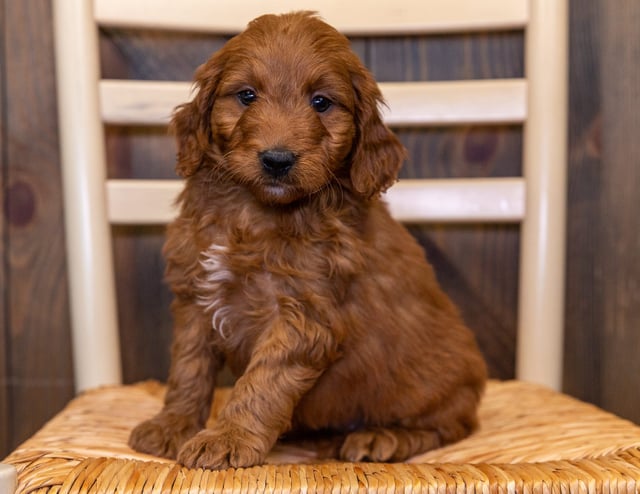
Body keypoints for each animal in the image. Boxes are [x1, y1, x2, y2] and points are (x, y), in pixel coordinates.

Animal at [129, 9, 484, 468]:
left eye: (321, 102)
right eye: (247, 96)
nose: (277, 160)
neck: (253, 213)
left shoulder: (304, 317)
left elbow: (261, 383)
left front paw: (227, 438)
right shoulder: (194, 296)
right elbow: (188, 368)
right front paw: (173, 425)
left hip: (434, 382)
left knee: (451, 425)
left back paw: (382, 437)